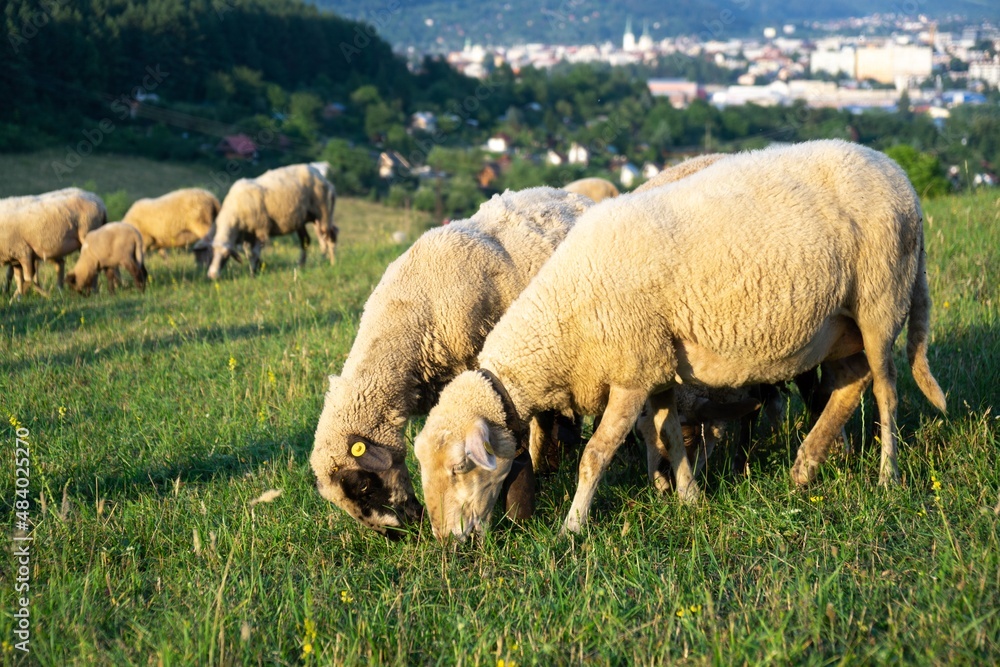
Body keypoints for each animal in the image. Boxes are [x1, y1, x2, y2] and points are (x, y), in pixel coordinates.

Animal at [200, 163, 340, 280]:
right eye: (211, 254)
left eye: (226, 256)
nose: (212, 275)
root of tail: (321, 176)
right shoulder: (248, 235)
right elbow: (249, 254)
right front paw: (256, 268)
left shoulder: (260, 229)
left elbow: (254, 253)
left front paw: (253, 273)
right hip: (305, 219)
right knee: (308, 241)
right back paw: (304, 265)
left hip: (323, 213)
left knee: (330, 236)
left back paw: (332, 263)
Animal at [412, 141, 944, 544]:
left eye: (460, 467)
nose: (447, 542)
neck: (564, 317)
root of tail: (897, 174)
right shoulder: (659, 366)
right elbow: (668, 433)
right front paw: (689, 497)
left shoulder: (630, 373)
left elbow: (596, 454)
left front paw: (573, 526)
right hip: (840, 326)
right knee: (851, 384)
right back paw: (804, 468)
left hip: (880, 300)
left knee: (886, 391)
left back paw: (887, 475)